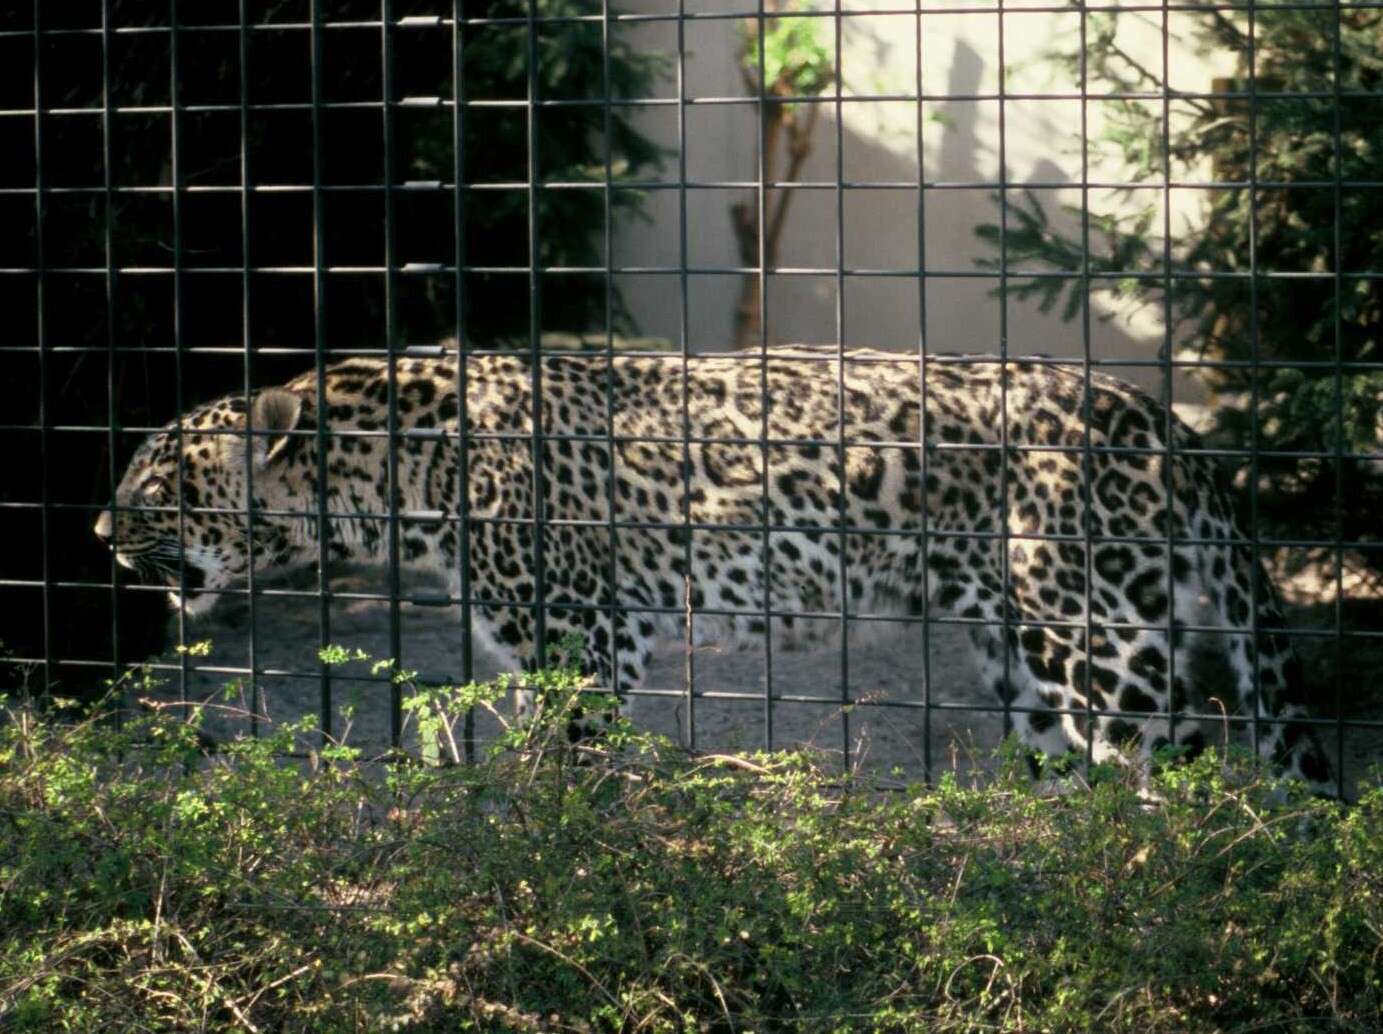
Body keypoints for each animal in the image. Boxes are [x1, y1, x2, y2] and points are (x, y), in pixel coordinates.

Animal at [91, 342, 1333, 785]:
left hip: (1098, 635)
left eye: (154, 477)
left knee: (1189, 756)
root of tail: (1163, 418)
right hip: (1017, 648)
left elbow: (567, 767)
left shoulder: (585, 638)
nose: (98, 532)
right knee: (1080, 766)